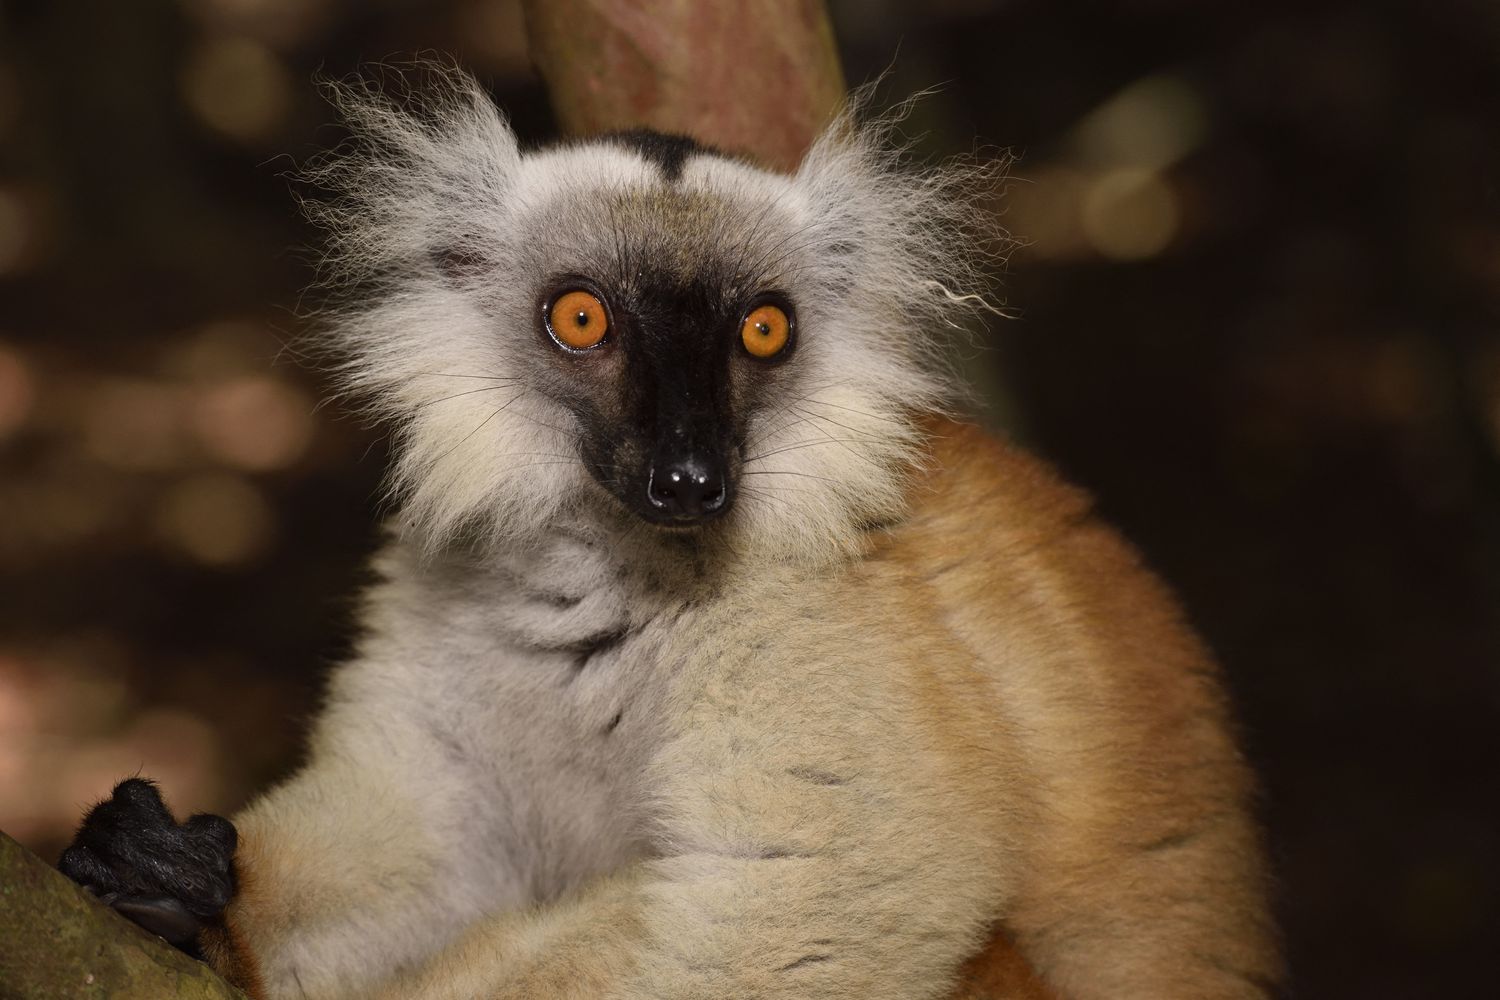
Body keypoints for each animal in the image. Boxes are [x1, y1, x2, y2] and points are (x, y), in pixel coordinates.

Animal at [59, 70, 1282, 1000]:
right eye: (581, 317)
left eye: (765, 330)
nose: (691, 478)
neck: (617, 574)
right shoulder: (457, 597)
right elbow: (438, 838)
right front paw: (186, 886)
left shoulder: (814, 634)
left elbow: (825, 893)